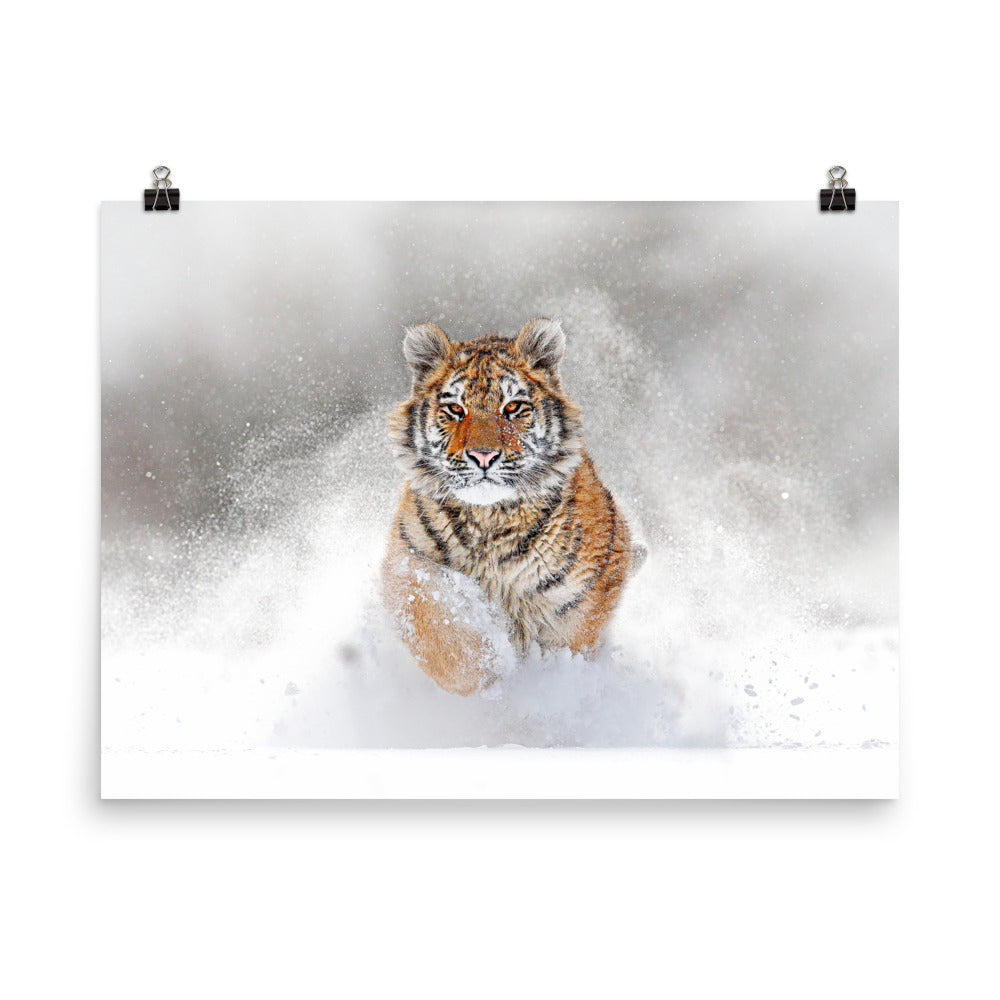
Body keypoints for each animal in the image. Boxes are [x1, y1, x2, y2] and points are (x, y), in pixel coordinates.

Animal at [381, 317, 645, 695]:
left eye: (511, 407)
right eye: (456, 409)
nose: (483, 456)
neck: (489, 520)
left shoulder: (582, 600)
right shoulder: (407, 562)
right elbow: (437, 627)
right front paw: (489, 666)